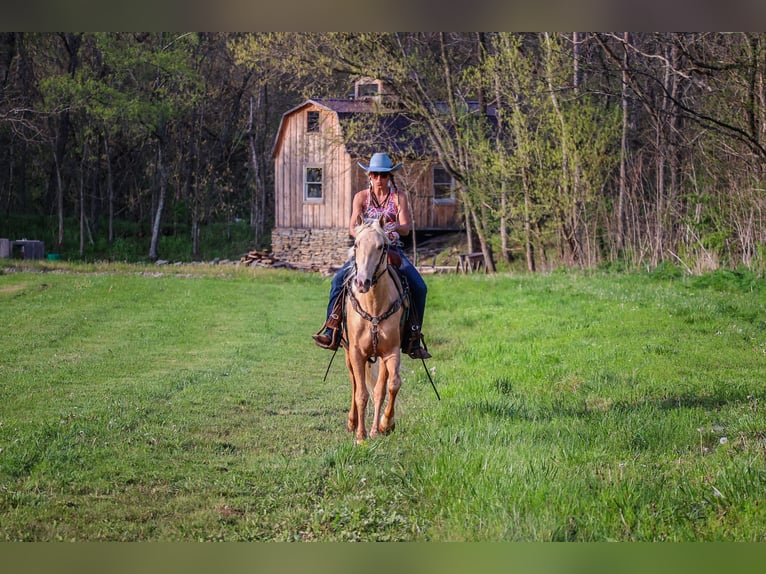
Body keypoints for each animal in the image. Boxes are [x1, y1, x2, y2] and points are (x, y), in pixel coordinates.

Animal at [346, 216, 408, 446]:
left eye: (382, 246)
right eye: (356, 244)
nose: (362, 282)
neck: (373, 305)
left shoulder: (391, 352)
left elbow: (391, 386)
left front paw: (383, 425)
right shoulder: (356, 353)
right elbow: (361, 393)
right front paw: (360, 436)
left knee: (379, 387)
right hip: (347, 353)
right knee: (355, 384)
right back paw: (352, 422)